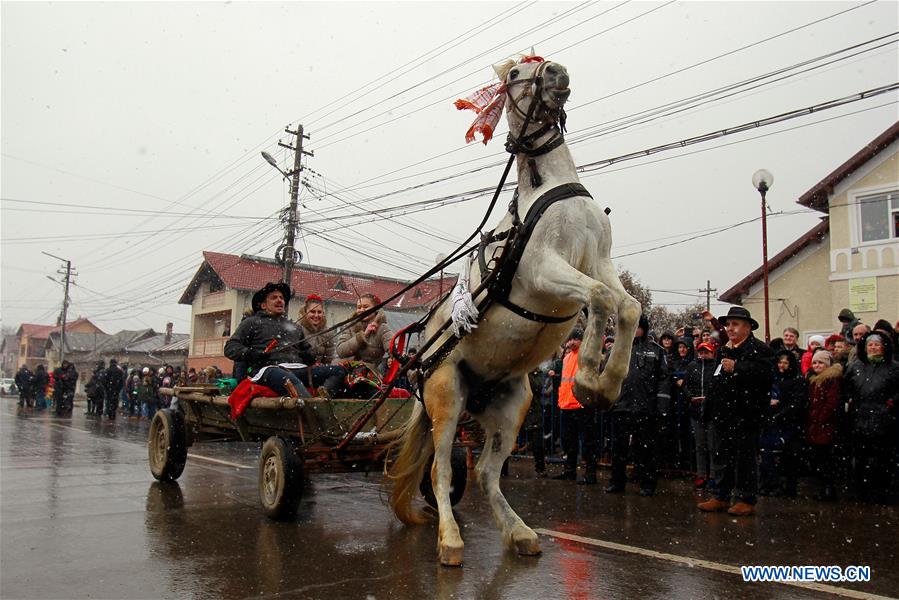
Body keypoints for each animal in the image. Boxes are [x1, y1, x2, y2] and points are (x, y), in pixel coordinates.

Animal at [386, 56, 640, 568]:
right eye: (517, 75)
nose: (557, 71)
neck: (552, 188)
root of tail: (419, 362)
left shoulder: (599, 261)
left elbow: (627, 305)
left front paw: (607, 385)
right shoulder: (546, 269)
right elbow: (599, 300)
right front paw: (587, 379)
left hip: (512, 406)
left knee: (486, 472)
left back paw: (520, 532)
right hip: (447, 398)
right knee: (442, 472)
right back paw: (449, 540)